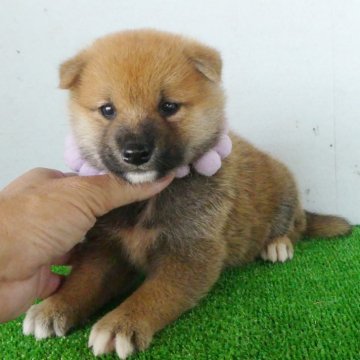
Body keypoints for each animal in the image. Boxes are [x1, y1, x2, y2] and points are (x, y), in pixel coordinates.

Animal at [23, 29, 352, 358]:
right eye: (107, 110)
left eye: (168, 107)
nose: (135, 153)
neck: (147, 200)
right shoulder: (106, 246)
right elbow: (84, 280)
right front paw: (53, 307)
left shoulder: (191, 252)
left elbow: (154, 293)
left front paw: (120, 324)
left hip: (285, 191)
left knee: (296, 225)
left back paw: (277, 244)